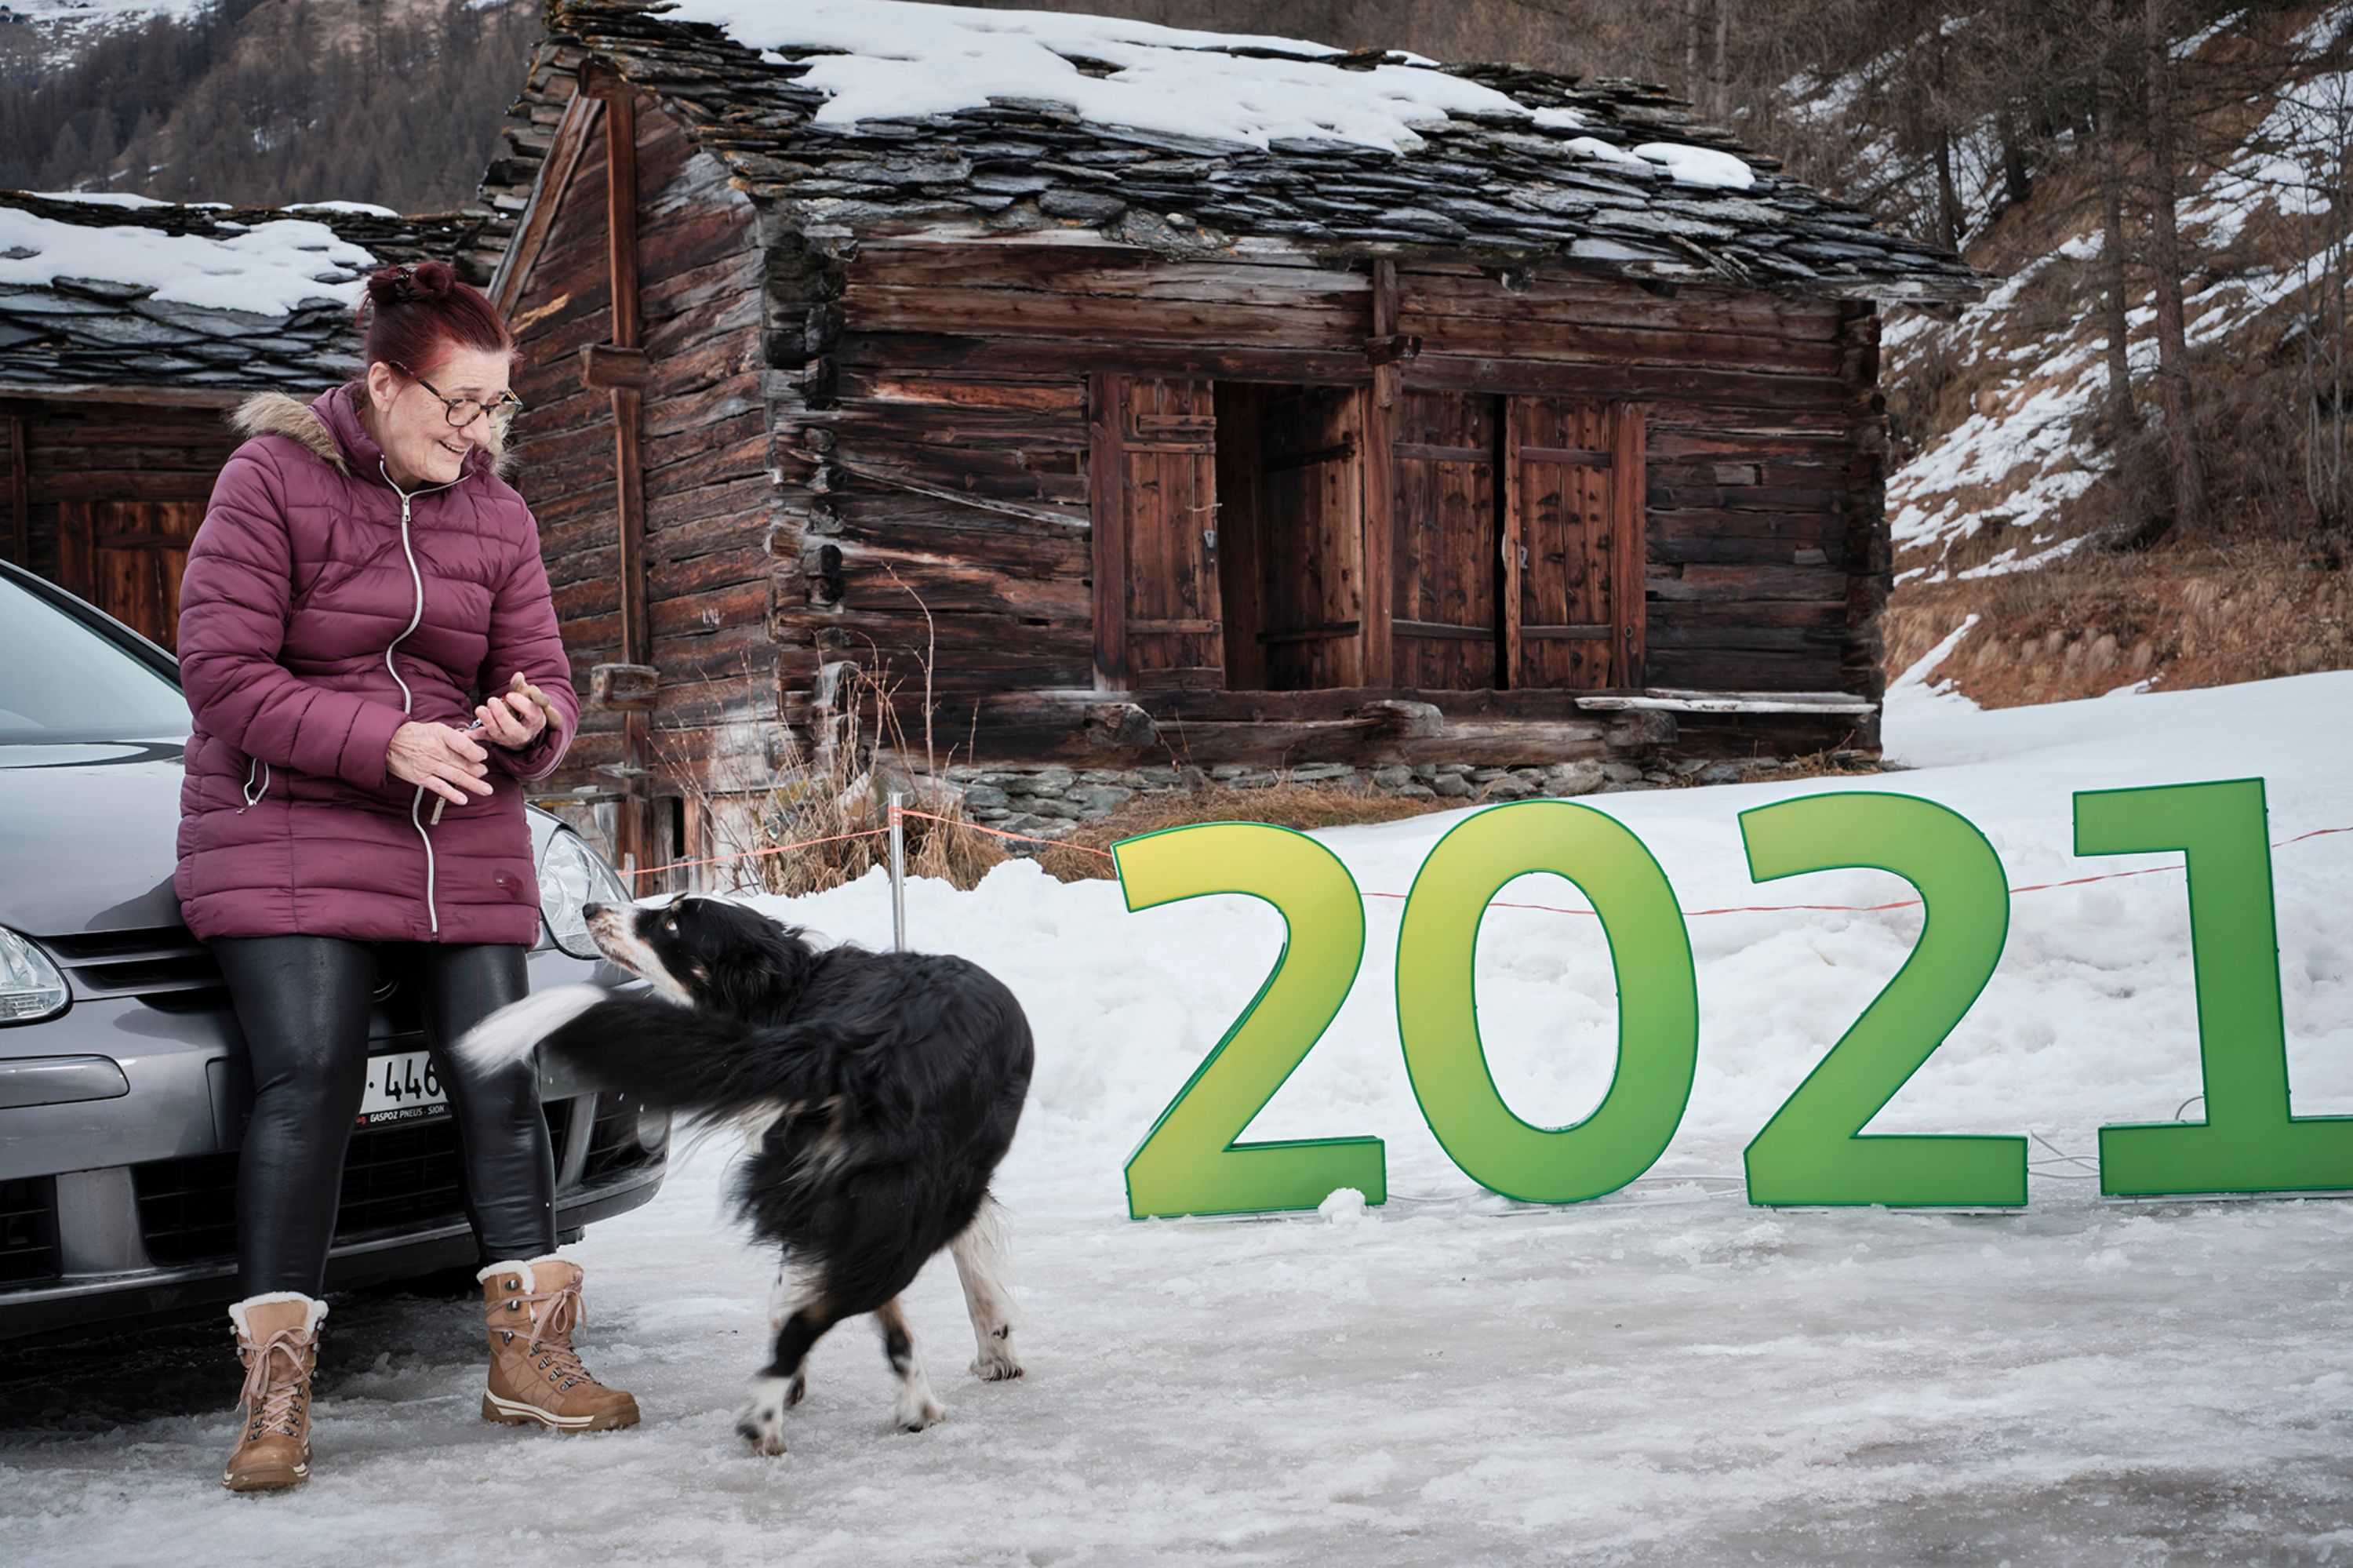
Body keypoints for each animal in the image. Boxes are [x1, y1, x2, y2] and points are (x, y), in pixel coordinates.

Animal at [464, 899, 1035, 1450]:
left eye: (673, 922)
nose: (589, 908)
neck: (789, 988)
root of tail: (859, 1044)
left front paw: (995, 1348)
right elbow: (967, 1264)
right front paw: (997, 1347)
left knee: (835, 1314)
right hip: (893, 1211)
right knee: (836, 1315)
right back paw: (815, 1412)